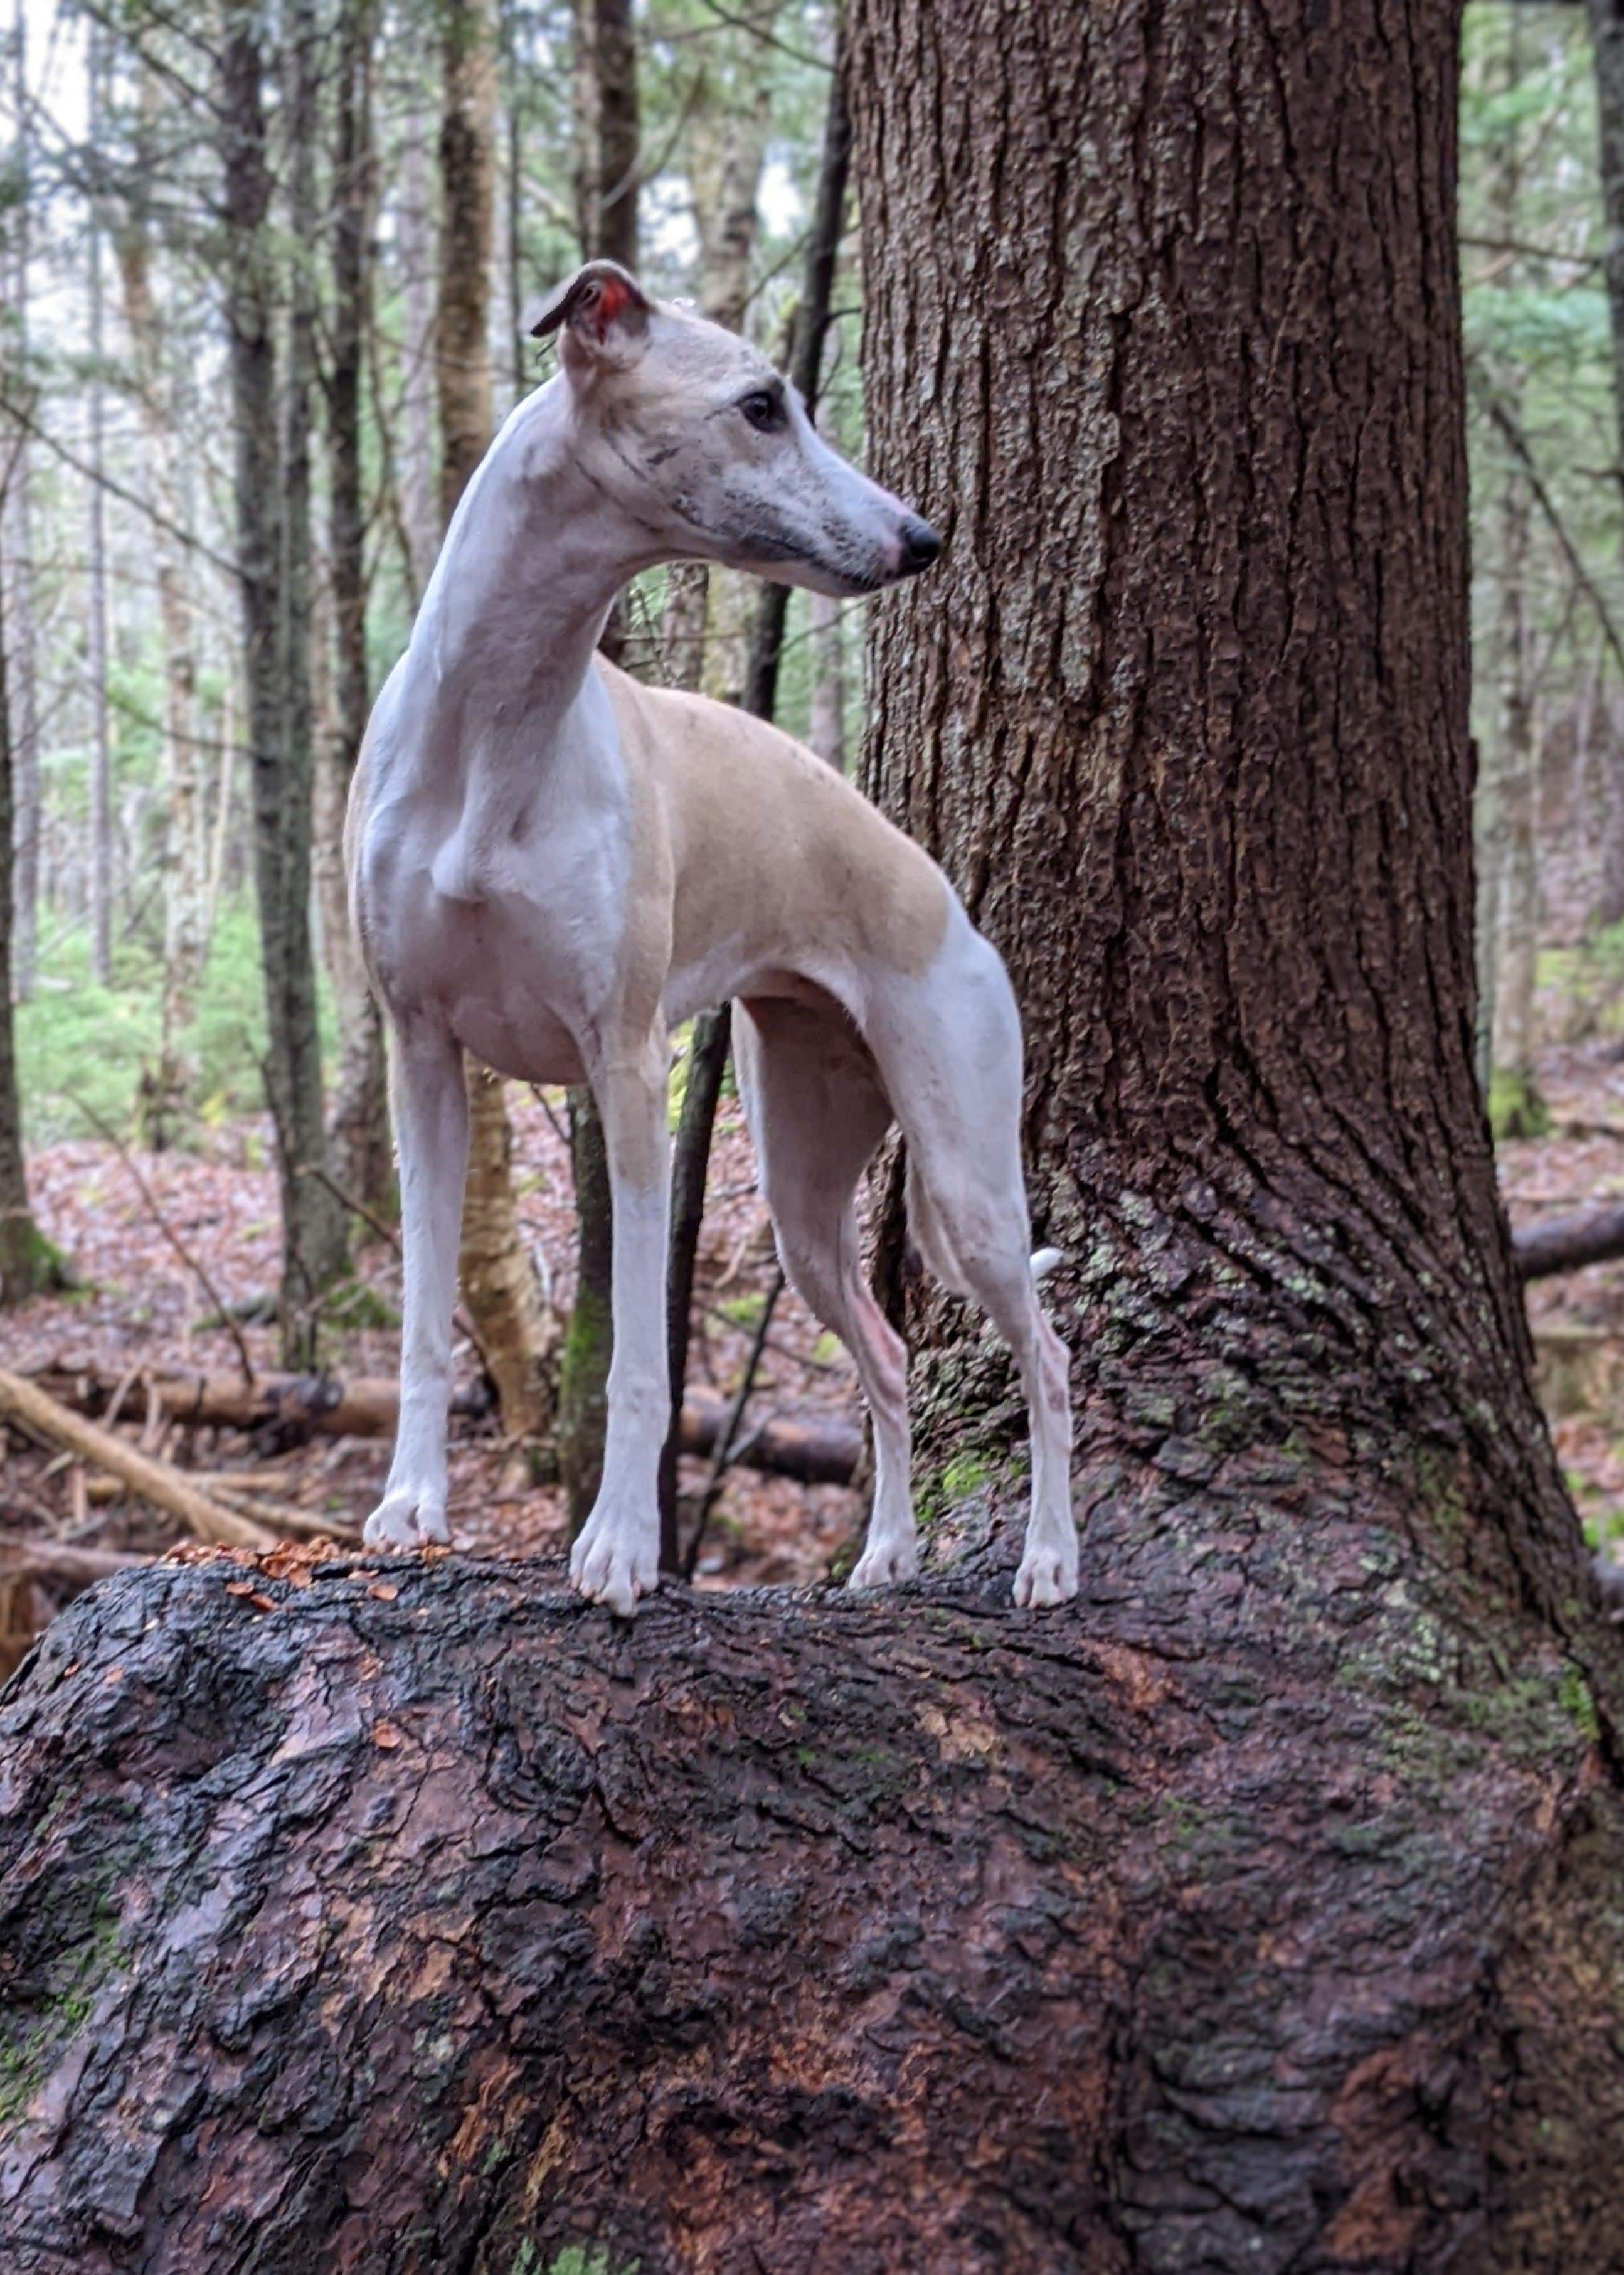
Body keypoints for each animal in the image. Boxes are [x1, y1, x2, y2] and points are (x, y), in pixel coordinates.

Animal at [348, 261, 1069, 1619]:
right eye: (759, 406)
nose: (921, 539)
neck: (493, 737)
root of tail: (939, 895)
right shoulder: (420, 1053)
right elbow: (421, 1317)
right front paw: (409, 1506)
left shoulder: (627, 1065)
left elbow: (637, 1354)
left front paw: (621, 1547)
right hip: (801, 1183)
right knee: (887, 1356)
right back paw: (885, 1557)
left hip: (965, 1169)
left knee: (1044, 1352)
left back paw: (1050, 1557)